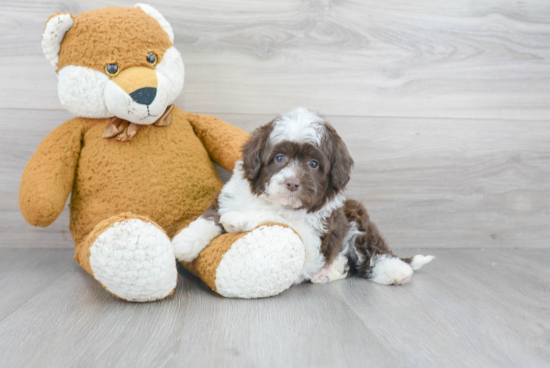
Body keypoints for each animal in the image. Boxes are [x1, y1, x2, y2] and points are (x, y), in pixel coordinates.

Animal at [175, 108, 434, 286]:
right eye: (279, 159)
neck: (276, 202)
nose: (292, 183)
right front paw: (184, 242)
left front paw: (238, 219)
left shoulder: (312, 237)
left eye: (313, 164)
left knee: (371, 249)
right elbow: (210, 216)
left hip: (355, 215)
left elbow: (279, 218)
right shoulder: (229, 197)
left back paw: (395, 271)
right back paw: (328, 272)